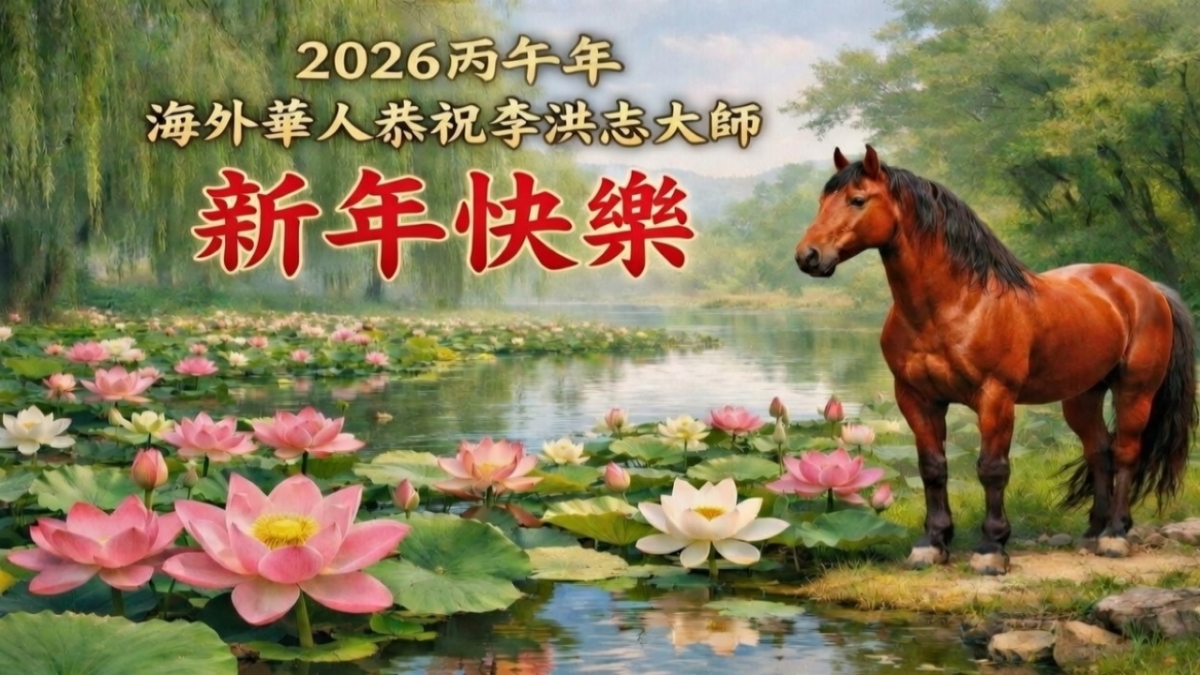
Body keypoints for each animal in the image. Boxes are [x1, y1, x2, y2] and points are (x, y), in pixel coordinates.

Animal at [794, 145, 1197, 575]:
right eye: (822, 201)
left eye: (857, 200)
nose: (808, 256)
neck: (955, 303)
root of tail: (1147, 287)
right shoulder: (916, 399)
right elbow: (932, 467)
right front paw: (932, 543)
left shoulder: (995, 398)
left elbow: (992, 469)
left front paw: (991, 548)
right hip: (1082, 396)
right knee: (1099, 452)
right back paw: (1093, 531)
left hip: (1135, 391)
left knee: (1125, 453)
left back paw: (1115, 535)